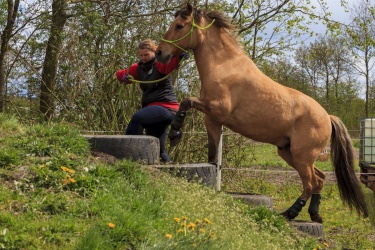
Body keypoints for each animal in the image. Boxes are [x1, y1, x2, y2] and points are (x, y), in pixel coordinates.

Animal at [155, 2, 368, 223]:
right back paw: (314, 214)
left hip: (302, 156)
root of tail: (328, 117)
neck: (223, 65)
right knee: (320, 179)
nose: (159, 53)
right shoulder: (212, 119)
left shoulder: (218, 108)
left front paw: (175, 133)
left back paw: (290, 213)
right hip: (288, 152)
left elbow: (186, 101)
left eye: (179, 25)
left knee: (310, 183)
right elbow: (212, 155)